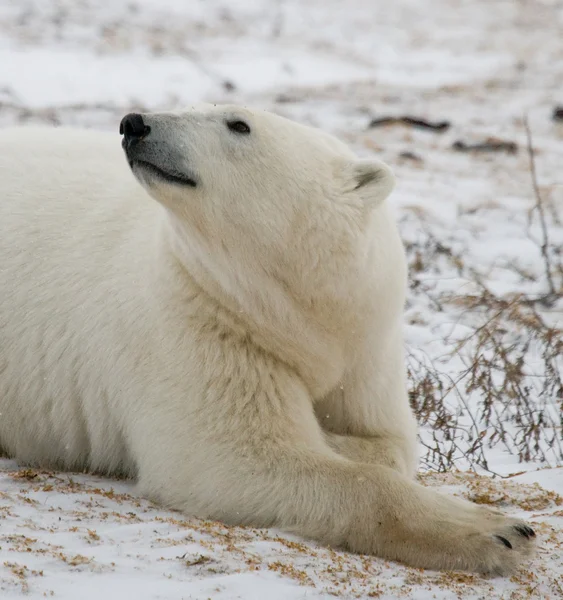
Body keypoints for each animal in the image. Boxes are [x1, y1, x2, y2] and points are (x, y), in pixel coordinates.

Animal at [0, 105, 536, 576]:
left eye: (238, 124)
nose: (135, 123)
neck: (292, 310)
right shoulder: (197, 320)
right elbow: (235, 457)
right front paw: (500, 531)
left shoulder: (365, 348)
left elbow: (389, 441)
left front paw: (334, 436)